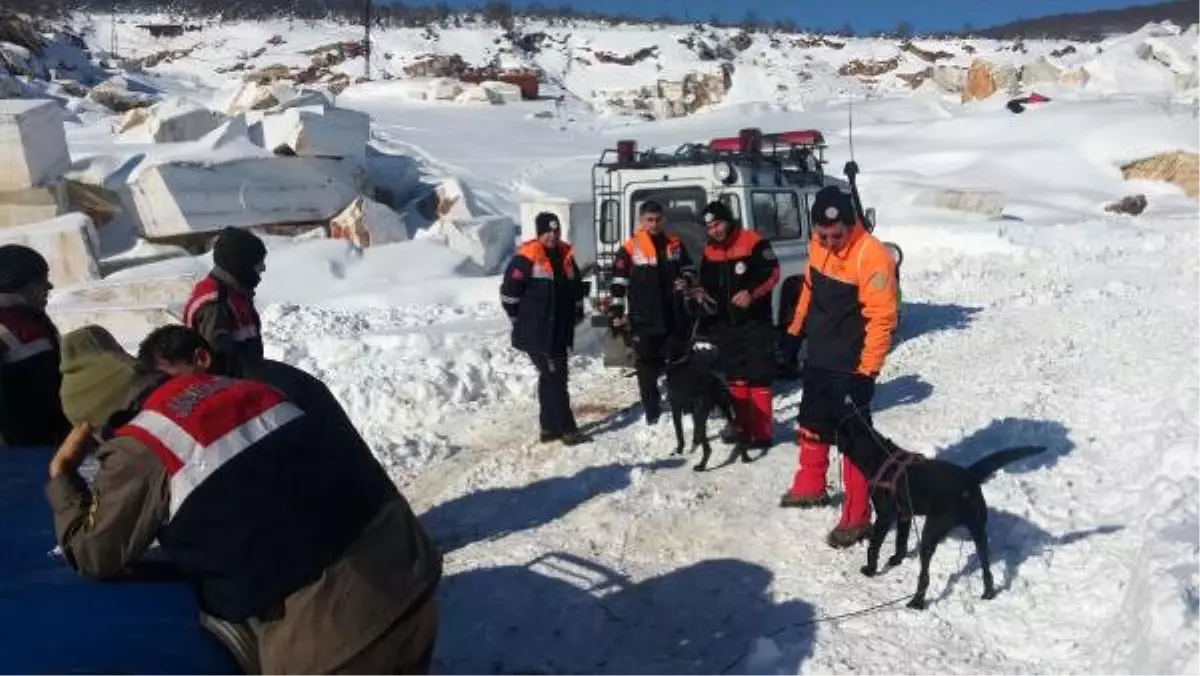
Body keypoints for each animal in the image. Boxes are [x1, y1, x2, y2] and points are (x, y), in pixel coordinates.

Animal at [835, 410, 1041, 609]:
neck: (878, 456)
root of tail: (968, 480)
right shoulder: (905, 515)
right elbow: (901, 541)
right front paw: (896, 560)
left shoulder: (885, 515)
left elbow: (874, 545)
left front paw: (870, 570)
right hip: (978, 531)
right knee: (986, 568)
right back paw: (988, 593)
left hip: (932, 531)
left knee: (925, 575)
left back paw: (916, 602)